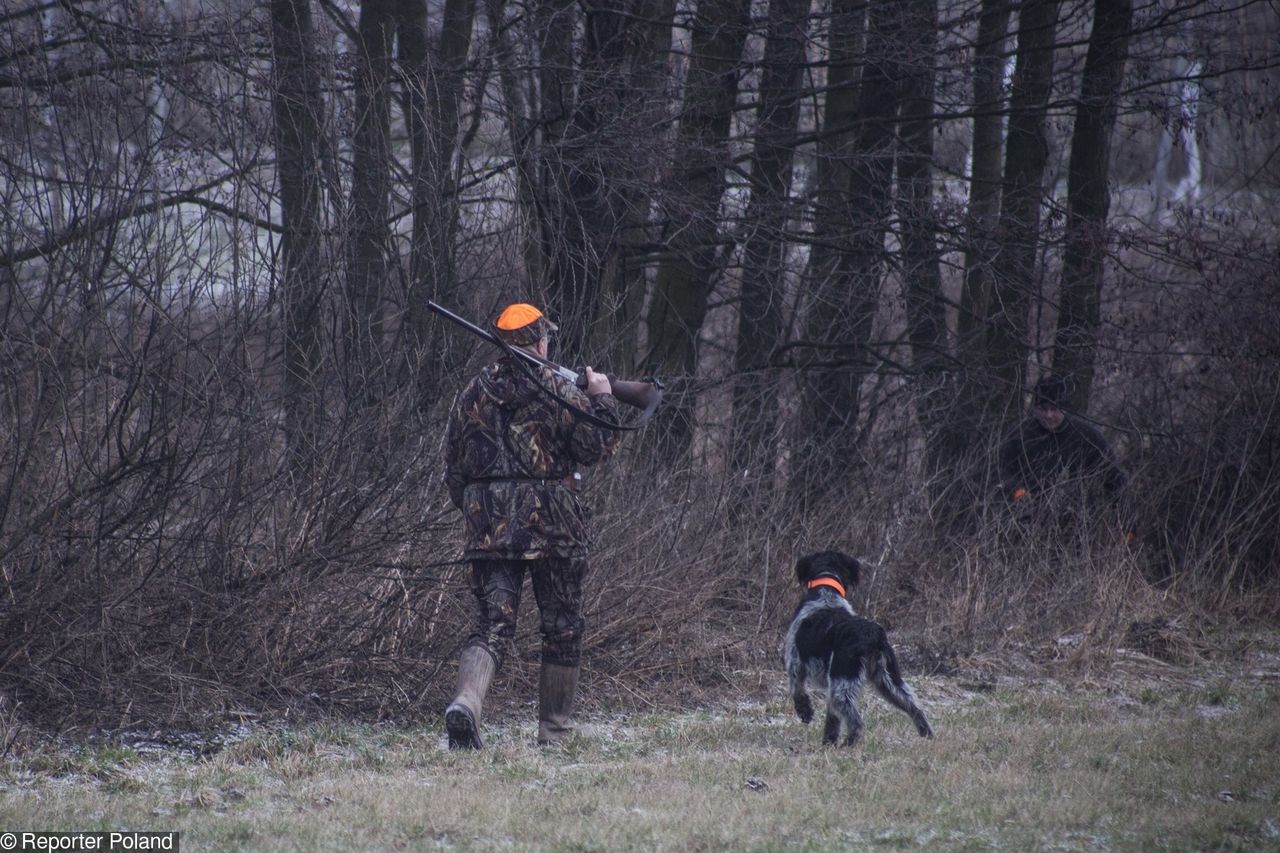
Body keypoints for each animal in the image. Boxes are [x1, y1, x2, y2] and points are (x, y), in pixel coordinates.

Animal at [778, 550, 931, 742]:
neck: (825, 590)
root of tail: (872, 634)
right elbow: (832, 720)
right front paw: (828, 742)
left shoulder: (795, 662)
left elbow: (797, 690)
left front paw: (805, 713)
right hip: (888, 680)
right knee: (915, 706)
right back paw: (927, 734)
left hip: (842, 684)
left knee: (856, 721)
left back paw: (849, 743)